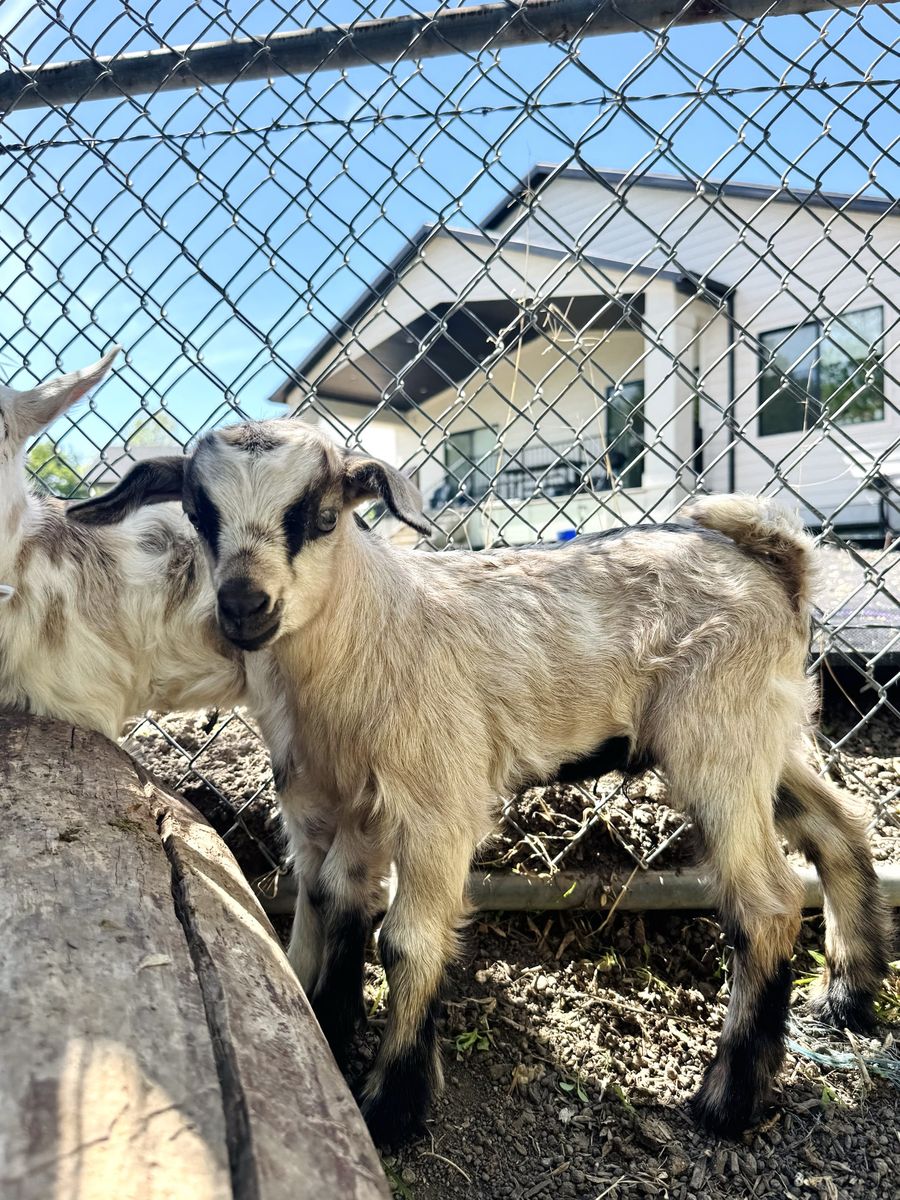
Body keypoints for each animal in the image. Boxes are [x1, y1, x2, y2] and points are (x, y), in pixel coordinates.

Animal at [70, 418, 892, 1147]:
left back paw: (728, 1102)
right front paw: (325, 1021)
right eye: (198, 515)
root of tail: (777, 561)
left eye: (324, 517)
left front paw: (391, 1108)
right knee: (840, 826)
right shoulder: (332, 802)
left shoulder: (437, 797)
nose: (244, 606)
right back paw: (849, 997)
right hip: (764, 735)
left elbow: (406, 940)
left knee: (768, 904)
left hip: (718, 738)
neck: (365, 637)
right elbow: (328, 902)